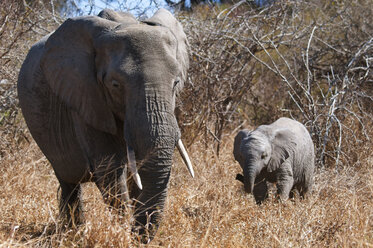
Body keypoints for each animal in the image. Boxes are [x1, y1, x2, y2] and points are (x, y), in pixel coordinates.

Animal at [17, 8, 193, 239]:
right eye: (115, 84)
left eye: (176, 82)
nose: (138, 236)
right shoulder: (85, 97)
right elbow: (111, 171)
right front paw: (122, 234)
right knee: (68, 181)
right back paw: (73, 233)